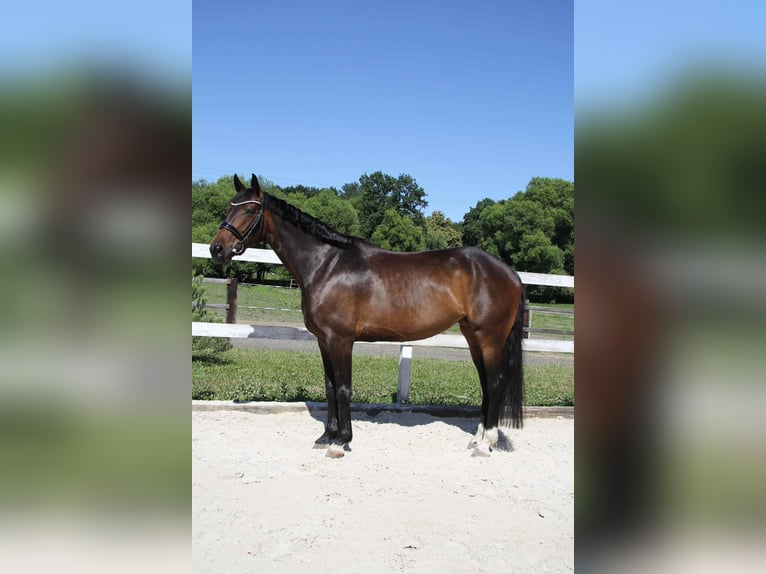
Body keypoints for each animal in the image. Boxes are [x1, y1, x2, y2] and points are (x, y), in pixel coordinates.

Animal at [211, 174, 525, 458]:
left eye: (250, 210)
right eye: (228, 208)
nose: (217, 249)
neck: (327, 265)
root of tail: (509, 272)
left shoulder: (340, 340)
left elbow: (343, 388)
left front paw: (341, 442)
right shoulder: (324, 341)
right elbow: (330, 387)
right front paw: (327, 436)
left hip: (490, 338)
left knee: (495, 384)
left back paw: (485, 445)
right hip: (472, 337)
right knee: (485, 384)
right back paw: (477, 439)